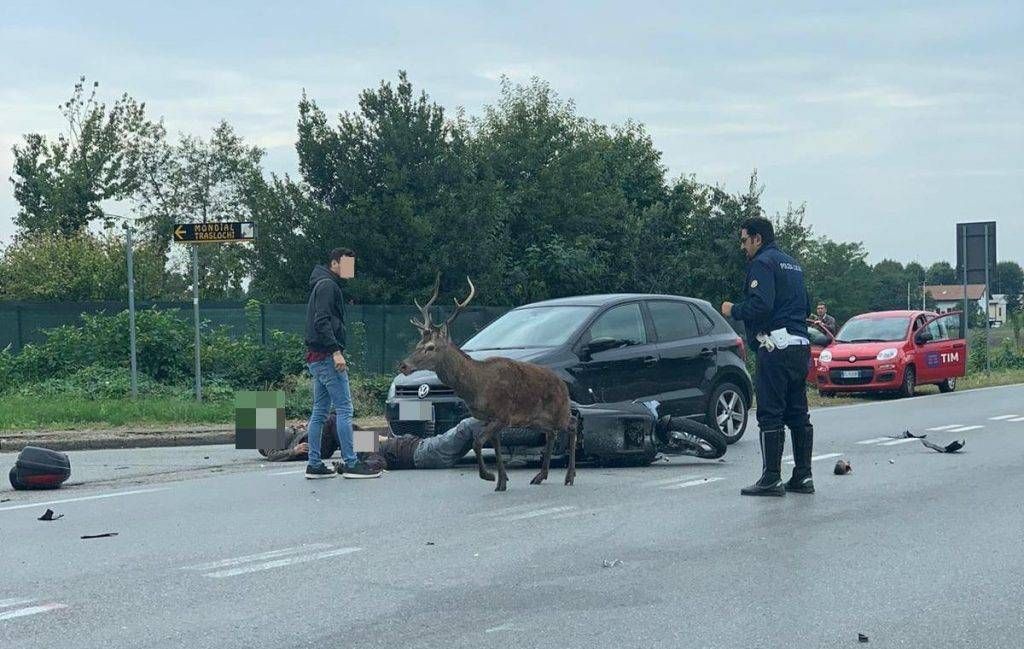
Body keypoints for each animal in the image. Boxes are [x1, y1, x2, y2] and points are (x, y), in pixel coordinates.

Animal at [397, 275, 577, 492]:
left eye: (431, 347)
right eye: (418, 345)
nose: (403, 365)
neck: (476, 386)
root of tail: (563, 385)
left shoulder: (502, 414)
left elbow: (477, 443)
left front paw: (489, 476)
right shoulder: (489, 418)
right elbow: (496, 447)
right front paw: (502, 481)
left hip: (560, 410)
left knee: (573, 425)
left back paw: (569, 476)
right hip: (538, 419)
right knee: (552, 434)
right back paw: (540, 476)